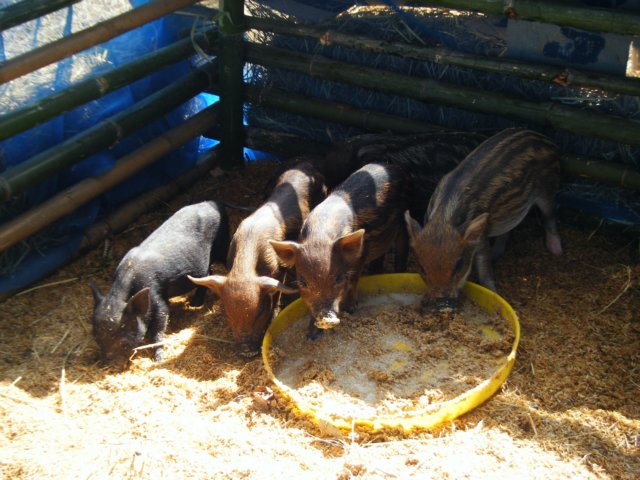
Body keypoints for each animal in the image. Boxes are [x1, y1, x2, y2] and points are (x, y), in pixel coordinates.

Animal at [90, 200, 229, 369]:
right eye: (96, 338)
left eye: (123, 342)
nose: (104, 365)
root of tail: (214, 202)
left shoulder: (156, 294)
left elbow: (160, 323)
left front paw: (159, 359)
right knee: (208, 272)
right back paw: (194, 304)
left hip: (222, 244)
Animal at [188, 160, 328, 355]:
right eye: (228, 312)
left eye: (260, 311)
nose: (247, 351)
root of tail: (307, 165)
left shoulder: (278, 271)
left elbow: (277, 292)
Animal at [270, 162, 411, 339]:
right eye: (302, 282)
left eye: (338, 279)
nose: (326, 315)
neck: (321, 236)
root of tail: (394, 166)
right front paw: (311, 335)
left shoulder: (361, 255)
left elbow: (353, 280)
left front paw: (350, 310)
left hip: (402, 217)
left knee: (403, 240)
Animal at [404, 128, 563, 312]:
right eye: (421, 267)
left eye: (459, 264)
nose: (442, 299)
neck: (443, 218)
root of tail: (546, 140)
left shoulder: (480, 238)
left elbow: (484, 270)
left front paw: (494, 293)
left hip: (547, 188)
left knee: (550, 216)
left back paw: (556, 251)